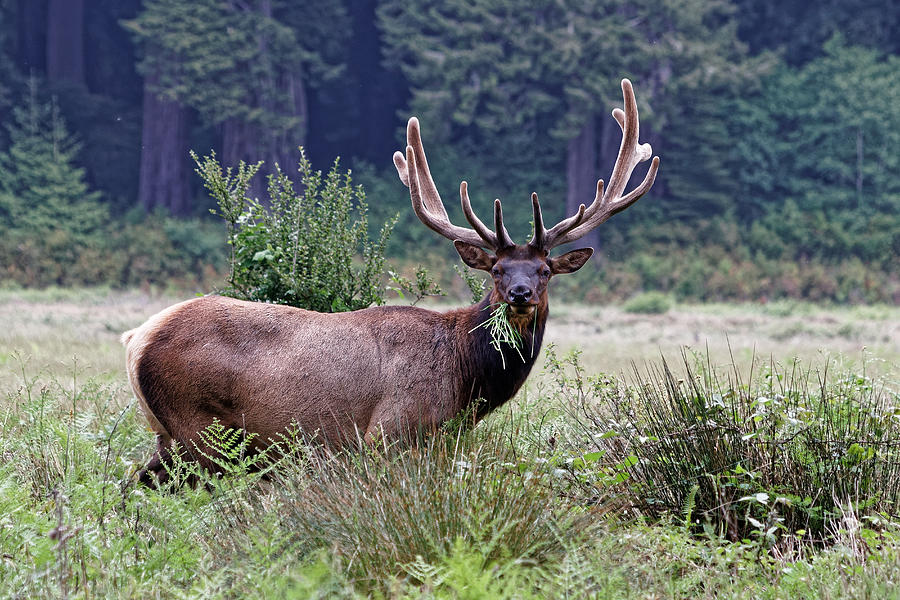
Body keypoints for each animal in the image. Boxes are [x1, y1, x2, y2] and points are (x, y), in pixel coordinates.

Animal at [122, 79, 659, 486]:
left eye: (544, 270)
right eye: (496, 270)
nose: (521, 294)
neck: (464, 377)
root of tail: (135, 339)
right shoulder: (390, 433)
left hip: (171, 436)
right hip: (200, 429)